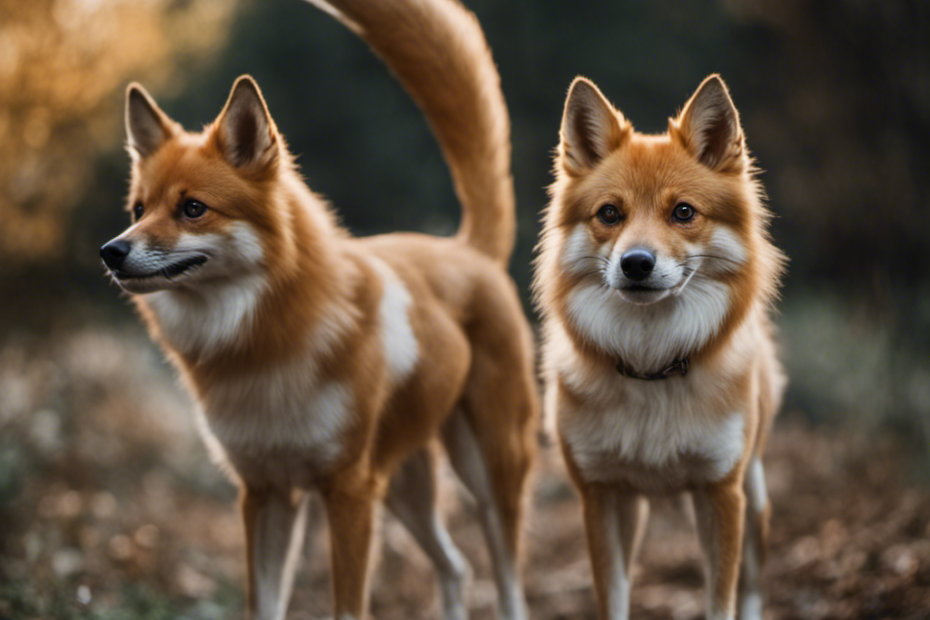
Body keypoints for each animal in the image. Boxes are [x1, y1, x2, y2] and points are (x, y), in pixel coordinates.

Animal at [99, 1, 536, 620]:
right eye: (139, 209)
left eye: (192, 209)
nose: (111, 251)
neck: (262, 351)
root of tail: (467, 250)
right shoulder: (266, 492)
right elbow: (262, 603)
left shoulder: (348, 489)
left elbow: (348, 606)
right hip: (405, 488)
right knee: (456, 566)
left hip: (487, 475)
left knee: (506, 580)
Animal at [532, 74, 788, 620]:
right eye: (610, 213)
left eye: (683, 212)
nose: (636, 263)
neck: (652, 368)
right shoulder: (601, 495)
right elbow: (613, 599)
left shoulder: (720, 491)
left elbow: (722, 601)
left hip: (754, 496)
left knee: (753, 586)